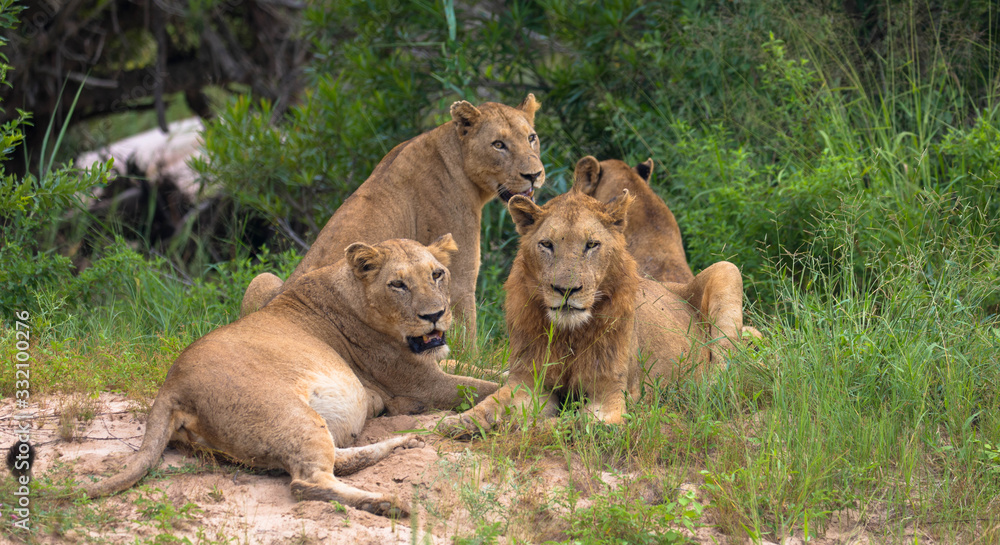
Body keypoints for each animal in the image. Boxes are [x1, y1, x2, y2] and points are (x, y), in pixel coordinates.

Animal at [82, 235, 498, 517]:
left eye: (437, 274)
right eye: (398, 284)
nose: (436, 315)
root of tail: (171, 386)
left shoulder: (434, 366)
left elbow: (495, 373)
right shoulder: (421, 385)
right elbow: (487, 386)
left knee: (335, 459)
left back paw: (403, 443)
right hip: (290, 413)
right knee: (307, 482)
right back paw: (388, 503)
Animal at [241, 95, 546, 344]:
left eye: (531, 137)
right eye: (498, 145)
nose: (534, 174)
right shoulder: (458, 274)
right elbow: (467, 340)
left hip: (262, 278)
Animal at [437, 190, 753, 432]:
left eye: (591, 245)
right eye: (546, 244)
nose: (566, 290)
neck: (569, 335)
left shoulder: (610, 395)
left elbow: (575, 422)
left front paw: (522, 426)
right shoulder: (528, 381)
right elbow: (493, 402)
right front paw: (461, 421)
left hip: (727, 270)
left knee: (722, 378)